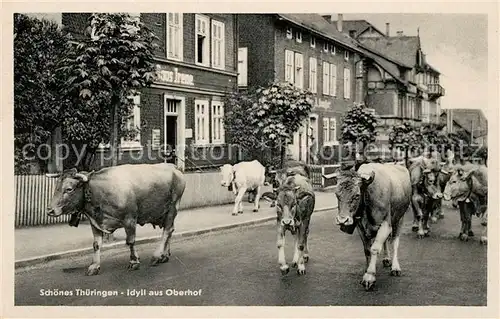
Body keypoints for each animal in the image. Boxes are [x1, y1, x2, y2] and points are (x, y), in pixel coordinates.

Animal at [46, 164, 186, 276]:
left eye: (69, 189)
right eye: (56, 187)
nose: (50, 210)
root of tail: (173, 167)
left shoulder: (130, 219)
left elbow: (130, 241)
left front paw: (134, 261)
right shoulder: (95, 223)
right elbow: (96, 244)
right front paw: (94, 266)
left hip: (173, 207)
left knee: (167, 231)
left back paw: (157, 256)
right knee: (170, 231)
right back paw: (164, 255)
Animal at [328, 164, 410, 292]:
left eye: (357, 195)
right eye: (337, 194)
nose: (342, 220)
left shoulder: (386, 224)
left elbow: (374, 249)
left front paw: (369, 277)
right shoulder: (360, 227)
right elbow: (367, 250)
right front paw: (367, 270)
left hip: (400, 218)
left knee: (395, 242)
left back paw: (395, 267)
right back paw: (386, 259)